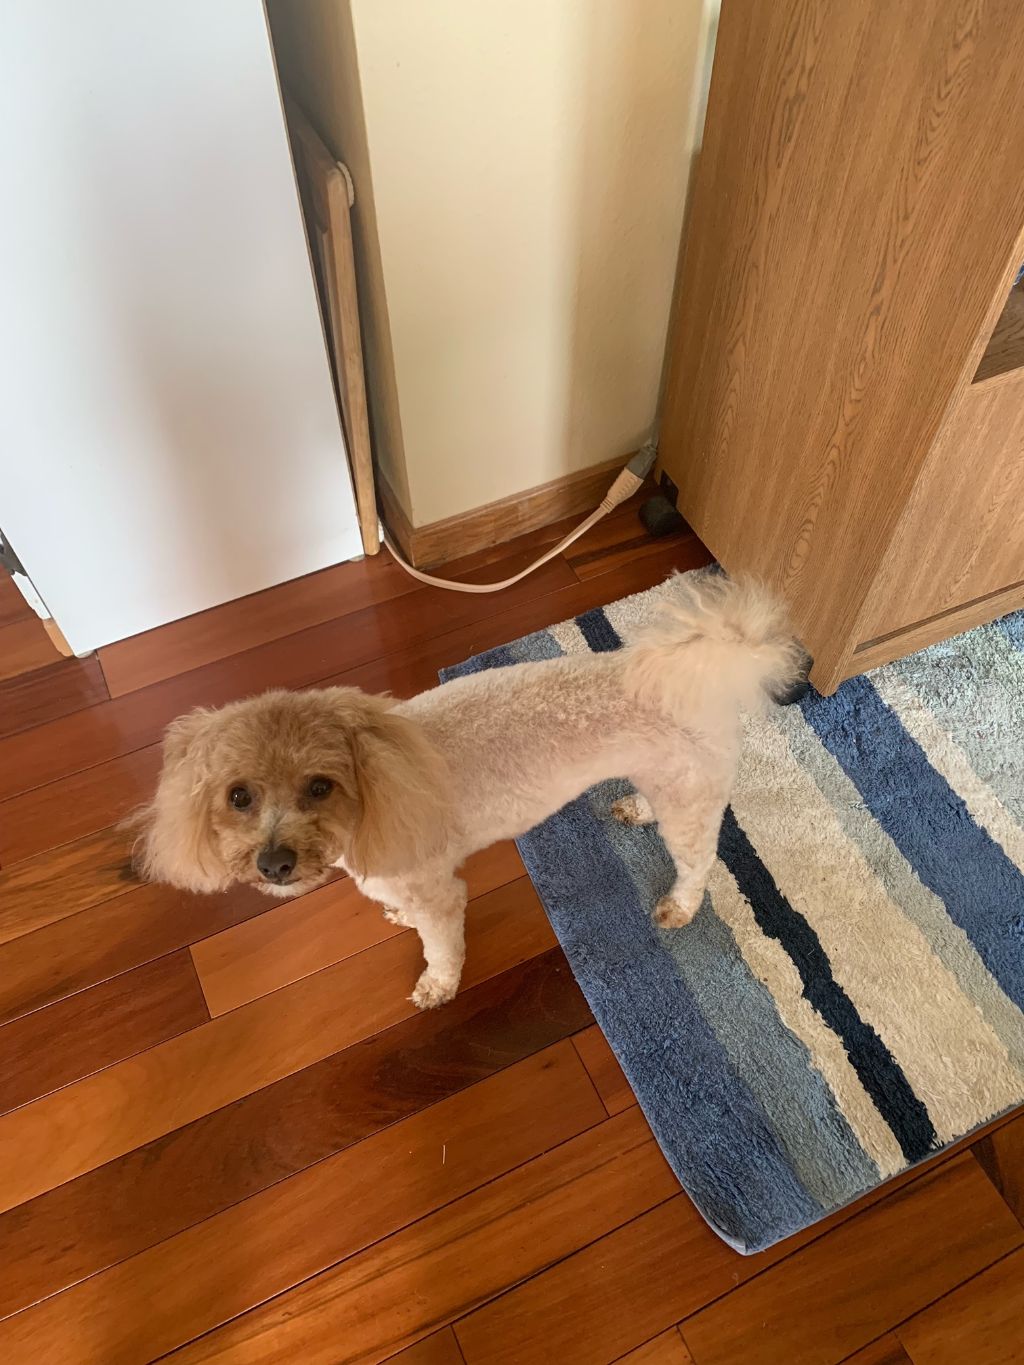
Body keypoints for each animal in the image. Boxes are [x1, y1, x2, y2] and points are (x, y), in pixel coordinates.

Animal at [135, 571, 806, 1009]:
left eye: (320, 787)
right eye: (238, 796)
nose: (275, 864)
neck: (379, 798)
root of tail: (703, 663)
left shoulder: (439, 894)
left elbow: (441, 946)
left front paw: (438, 986)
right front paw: (398, 917)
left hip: (690, 799)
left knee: (698, 861)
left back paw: (680, 905)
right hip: (662, 775)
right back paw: (636, 809)